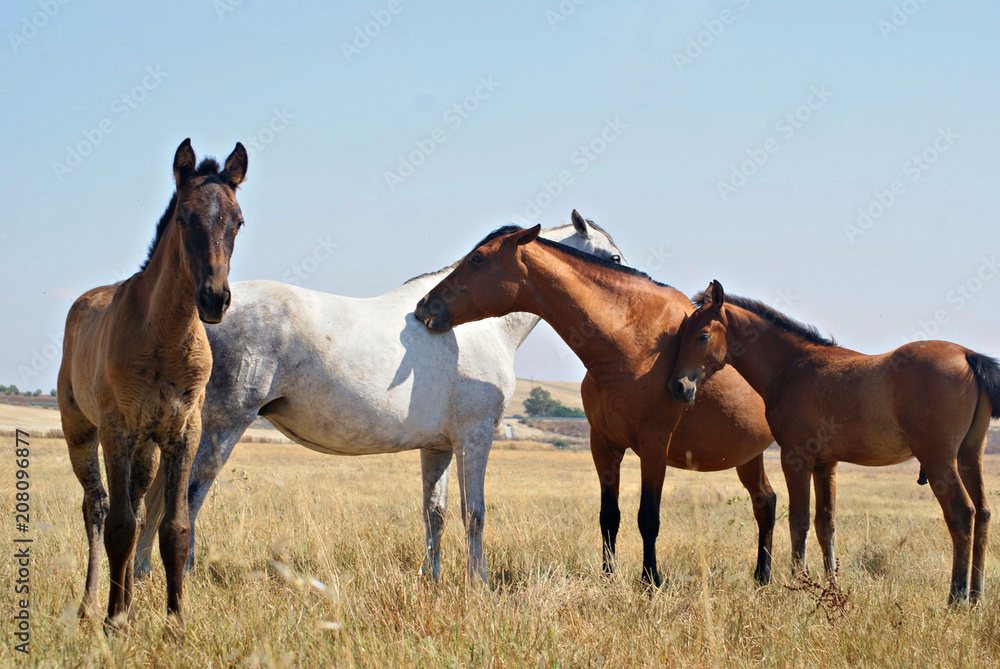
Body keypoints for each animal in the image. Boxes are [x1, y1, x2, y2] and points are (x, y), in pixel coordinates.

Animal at [58, 138, 248, 636]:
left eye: (238, 220)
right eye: (184, 217)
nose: (214, 299)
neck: (163, 337)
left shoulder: (183, 432)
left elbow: (174, 528)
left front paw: (176, 623)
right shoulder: (116, 430)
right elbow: (120, 526)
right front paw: (113, 620)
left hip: (146, 446)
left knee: (140, 506)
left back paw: (125, 603)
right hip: (80, 431)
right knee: (97, 508)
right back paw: (92, 605)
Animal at [139, 214, 624, 580]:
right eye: (614, 257)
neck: (476, 325)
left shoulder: (437, 446)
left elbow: (435, 514)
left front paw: (433, 581)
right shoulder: (475, 437)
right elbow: (474, 513)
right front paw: (478, 583)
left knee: (158, 497)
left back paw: (143, 574)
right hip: (222, 426)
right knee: (188, 497)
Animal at [410, 226, 776, 584]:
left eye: (478, 258)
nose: (424, 306)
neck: (634, 345)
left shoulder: (654, 445)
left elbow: (648, 517)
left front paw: (650, 581)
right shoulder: (603, 444)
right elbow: (609, 516)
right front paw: (608, 577)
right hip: (749, 454)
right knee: (766, 501)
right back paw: (762, 576)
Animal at [672, 280, 1000, 604]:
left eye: (702, 335)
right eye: (682, 333)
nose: (678, 386)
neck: (792, 366)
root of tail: (968, 355)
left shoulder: (796, 458)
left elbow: (799, 520)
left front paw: (800, 582)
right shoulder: (825, 465)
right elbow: (825, 524)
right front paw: (831, 584)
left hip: (937, 459)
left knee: (962, 513)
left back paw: (957, 597)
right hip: (970, 456)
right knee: (983, 513)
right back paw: (976, 594)